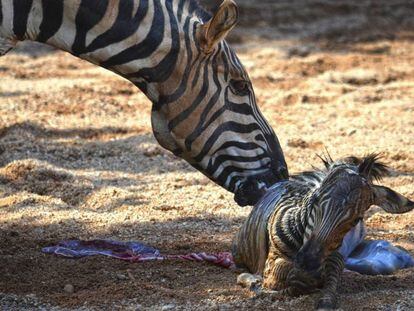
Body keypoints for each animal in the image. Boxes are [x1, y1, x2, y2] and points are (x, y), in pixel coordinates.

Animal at [233, 155, 414, 310]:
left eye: (357, 219)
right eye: (315, 199)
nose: (308, 261)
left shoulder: (337, 256)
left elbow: (329, 277)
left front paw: (325, 298)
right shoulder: (271, 262)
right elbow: (288, 274)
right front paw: (261, 285)